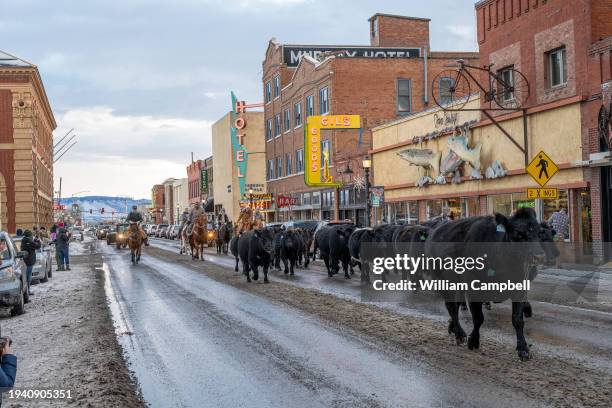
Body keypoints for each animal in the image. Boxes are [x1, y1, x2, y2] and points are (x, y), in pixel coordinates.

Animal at [426, 207, 544, 360]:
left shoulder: (519, 288)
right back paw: (460, 334)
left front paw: (523, 349)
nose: (539, 256)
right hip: (444, 281)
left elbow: (518, 320)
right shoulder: (474, 289)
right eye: (518, 234)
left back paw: (452, 327)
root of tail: (436, 230)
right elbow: (478, 318)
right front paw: (473, 341)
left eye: (539, 232)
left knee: (455, 305)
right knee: (451, 306)